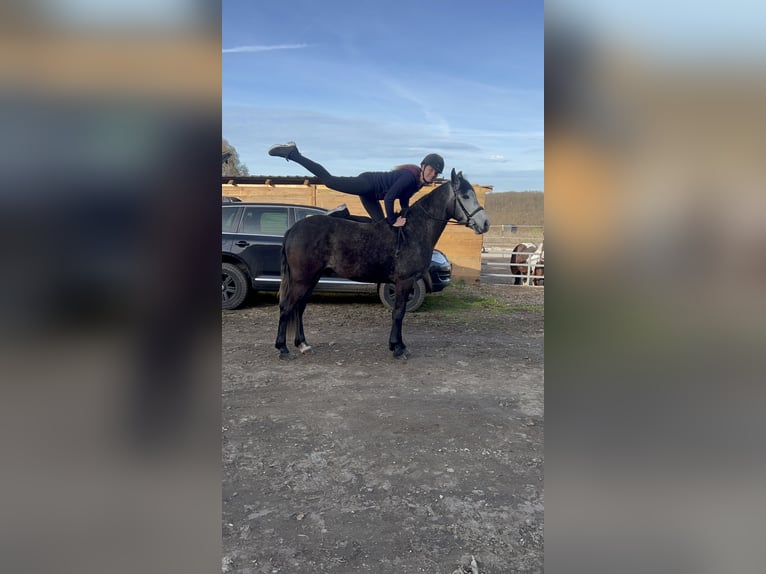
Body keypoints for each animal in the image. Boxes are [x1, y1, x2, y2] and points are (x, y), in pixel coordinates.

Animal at [275, 168, 490, 360]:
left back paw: (303, 344)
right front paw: (398, 348)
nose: (485, 224)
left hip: (311, 278)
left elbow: (399, 313)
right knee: (287, 307)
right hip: (302, 279)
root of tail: (293, 229)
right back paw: (283, 349)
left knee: (299, 307)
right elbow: (398, 313)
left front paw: (398, 345)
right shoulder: (404, 281)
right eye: (465, 196)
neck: (412, 231)